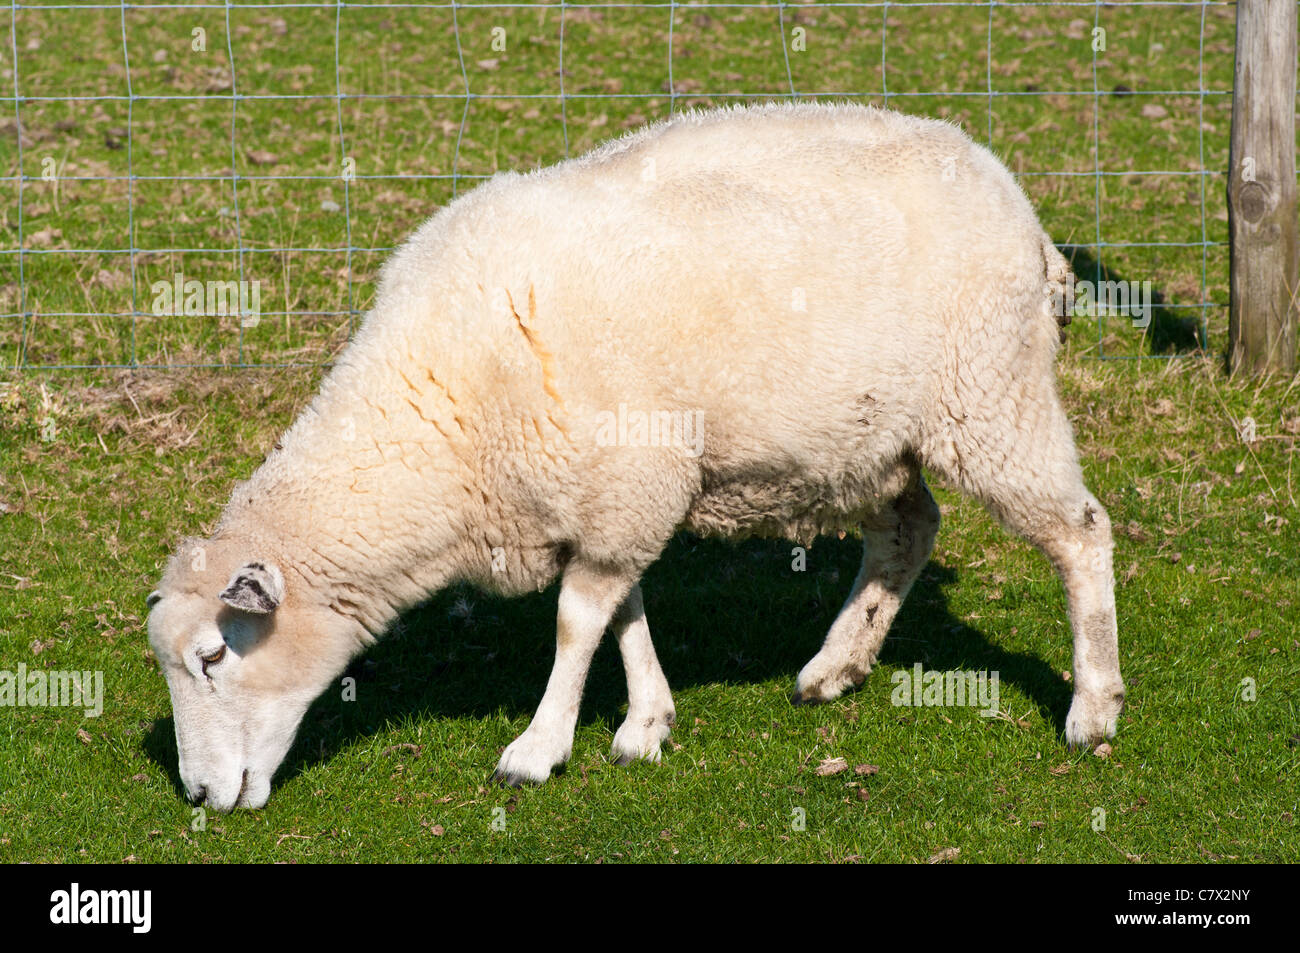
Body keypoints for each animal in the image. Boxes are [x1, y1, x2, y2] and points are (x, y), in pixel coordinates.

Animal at [146, 101, 1124, 811]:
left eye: (213, 656)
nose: (196, 793)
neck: (440, 420)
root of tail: (1023, 211)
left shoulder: (624, 485)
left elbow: (577, 620)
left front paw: (538, 747)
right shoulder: (613, 495)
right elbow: (623, 610)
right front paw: (647, 720)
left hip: (992, 393)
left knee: (1081, 530)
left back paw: (1094, 705)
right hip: (875, 435)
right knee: (911, 527)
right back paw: (835, 667)